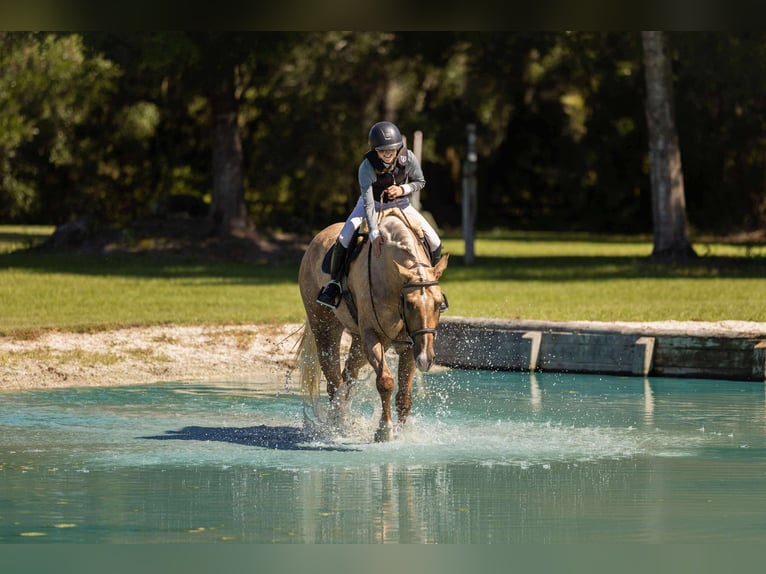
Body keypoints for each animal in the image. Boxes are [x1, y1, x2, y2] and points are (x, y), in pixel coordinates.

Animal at [296, 209, 449, 442]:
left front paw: (402, 433)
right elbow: (385, 382)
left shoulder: (409, 346)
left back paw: (344, 419)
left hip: (359, 345)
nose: (425, 359)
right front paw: (384, 430)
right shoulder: (372, 338)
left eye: (439, 303)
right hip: (325, 329)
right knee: (333, 379)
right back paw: (337, 425)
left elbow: (404, 397)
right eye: (409, 304)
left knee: (347, 377)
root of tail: (316, 239)